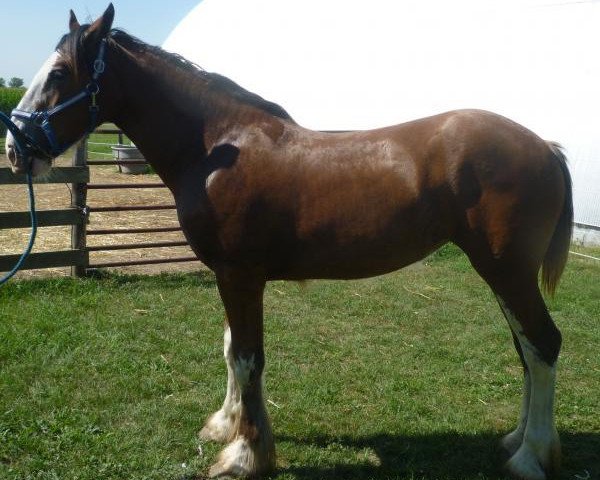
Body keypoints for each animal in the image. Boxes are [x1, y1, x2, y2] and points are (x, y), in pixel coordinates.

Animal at [7, 4, 576, 480]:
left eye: (59, 74)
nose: (16, 149)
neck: (217, 146)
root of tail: (544, 146)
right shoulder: (231, 276)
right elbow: (231, 348)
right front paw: (225, 425)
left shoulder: (240, 275)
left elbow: (247, 358)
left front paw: (243, 455)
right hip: (503, 273)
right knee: (526, 349)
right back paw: (517, 441)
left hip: (506, 270)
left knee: (543, 345)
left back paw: (530, 457)